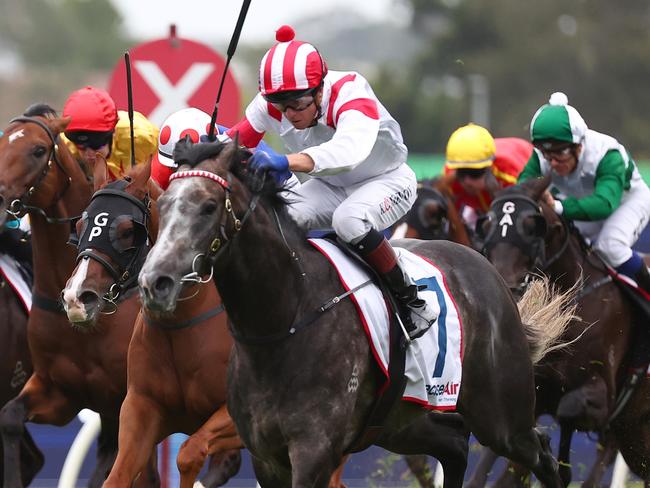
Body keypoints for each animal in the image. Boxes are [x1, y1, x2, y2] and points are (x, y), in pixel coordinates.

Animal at [476, 177, 648, 486]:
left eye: (531, 225)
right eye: (487, 225)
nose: (500, 284)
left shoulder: (603, 397)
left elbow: (568, 408)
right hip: (633, 428)